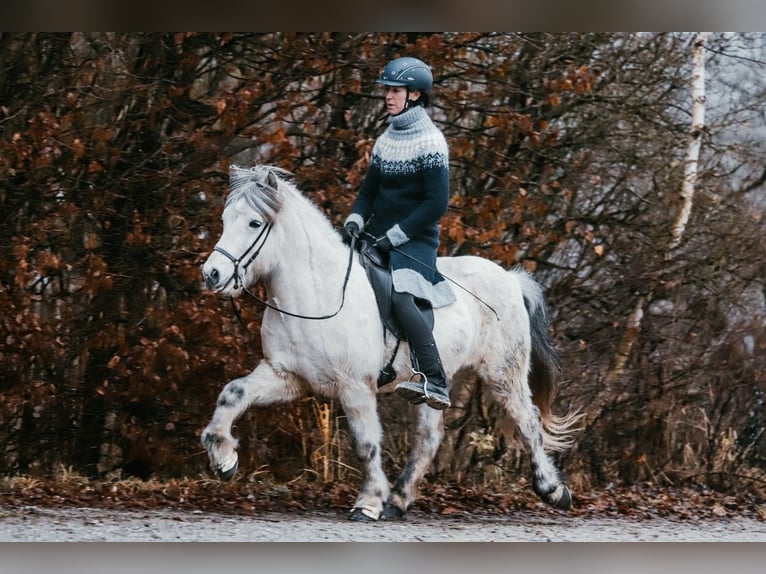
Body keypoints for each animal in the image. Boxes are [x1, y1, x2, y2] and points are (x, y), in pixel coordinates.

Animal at [200, 164, 579, 521]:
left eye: (254, 223)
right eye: (224, 219)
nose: (212, 274)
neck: (319, 292)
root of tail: (510, 279)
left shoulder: (355, 387)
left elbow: (366, 443)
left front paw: (368, 503)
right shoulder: (287, 377)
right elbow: (232, 393)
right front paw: (223, 458)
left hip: (503, 374)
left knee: (528, 420)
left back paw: (553, 490)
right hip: (435, 387)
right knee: (430, 438)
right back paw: (398, 500)